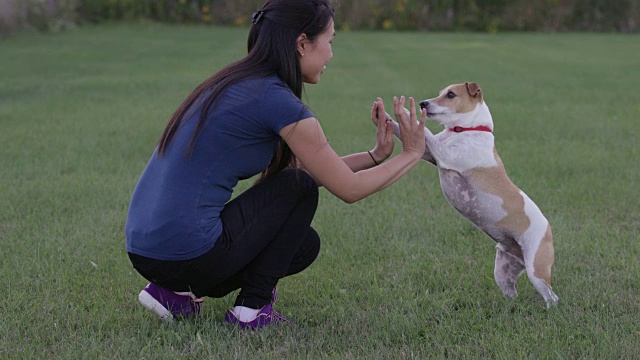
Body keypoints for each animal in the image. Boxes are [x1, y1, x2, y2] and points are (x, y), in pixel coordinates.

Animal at [384, 83, 560, 308]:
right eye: (441, 93)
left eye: (451, 94)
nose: (423, 103)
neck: (465, 130)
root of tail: (548, 229)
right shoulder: (428, 153)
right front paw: (385, 116)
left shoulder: (446, 155)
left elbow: (425, 132)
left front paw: (407, 113)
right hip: (503, 271)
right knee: (511, 291)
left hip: (537, 271)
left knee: (551, 296)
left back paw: (550, 310)